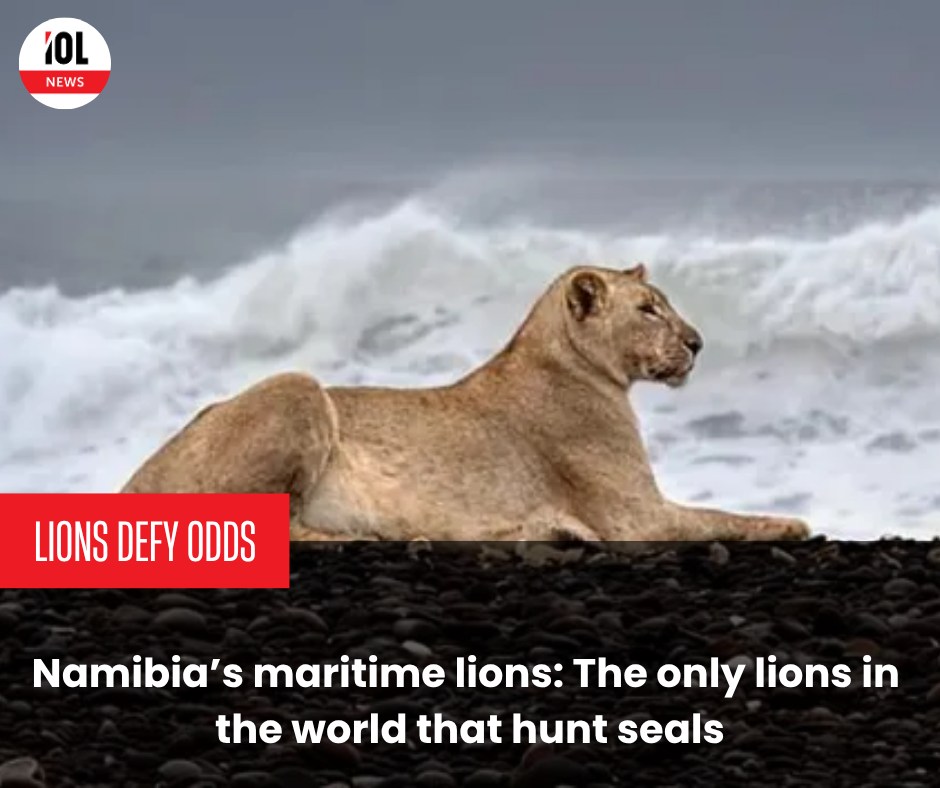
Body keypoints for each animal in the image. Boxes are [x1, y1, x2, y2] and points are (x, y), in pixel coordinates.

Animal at [120, 264, 810, 542]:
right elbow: (724, 516)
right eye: (648, 310)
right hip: (298, 385)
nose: (698, 343)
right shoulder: (637, 519)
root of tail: (133, 482)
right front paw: (792, 525)